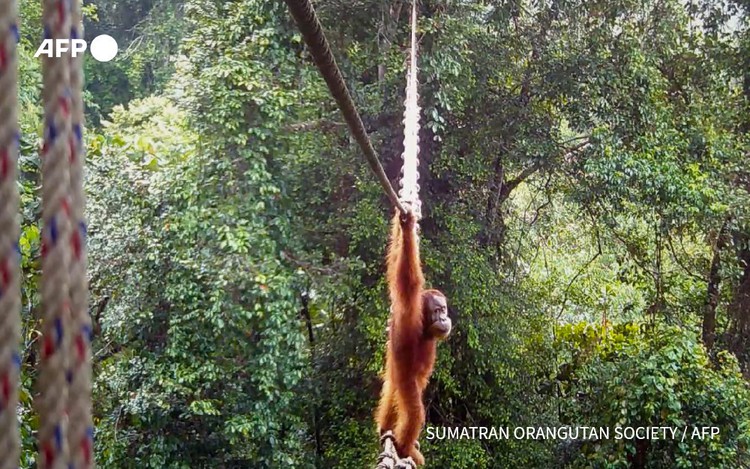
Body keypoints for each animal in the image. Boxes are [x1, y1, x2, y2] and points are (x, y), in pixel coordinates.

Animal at [376, 209, 452, 465]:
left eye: (444, 310)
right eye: (437, 311)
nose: (444, 318)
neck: (425, 328)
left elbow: (395, 265)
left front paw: (402, 226)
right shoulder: (410, 309)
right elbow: (407, 277)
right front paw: (407, 227)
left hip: (394, 378)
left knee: (390, 395)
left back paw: (386, 431)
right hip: (404, 381)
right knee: (414, 411)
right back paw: (404, 446)